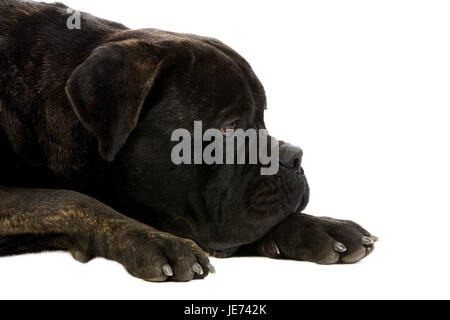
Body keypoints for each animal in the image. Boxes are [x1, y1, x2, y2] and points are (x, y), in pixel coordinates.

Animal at [0, 0, 376, 282]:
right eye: (229, 129)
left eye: (263, 119)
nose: (295, 156)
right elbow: (71, 200)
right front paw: (154, 242)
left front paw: (322, 227)